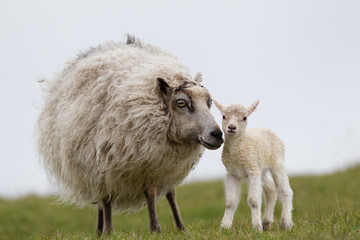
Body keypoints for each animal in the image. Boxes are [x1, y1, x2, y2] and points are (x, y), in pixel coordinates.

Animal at [36, 34, 222, 235]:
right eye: (181, 103)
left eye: (209, 102)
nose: (217, 134)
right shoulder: (125, 163)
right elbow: (135, 195)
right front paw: (154, 229)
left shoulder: (162, 165)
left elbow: (169, 193)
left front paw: (180, 228)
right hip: (94, 166)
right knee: (103, 198)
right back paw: (105, 231)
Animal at [212, 99, 294, 231]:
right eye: (224, 116)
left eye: (244, 118)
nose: (231, 127)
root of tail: (268, 129)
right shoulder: (232, 173)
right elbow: (230, 202)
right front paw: (225, 227)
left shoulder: (252, 171)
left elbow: (253, 200)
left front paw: (256, 227)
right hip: (260, 168)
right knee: (271, 188)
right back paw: (267, 221)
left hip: (277, 161)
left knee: (286, 191)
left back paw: (286, 223)